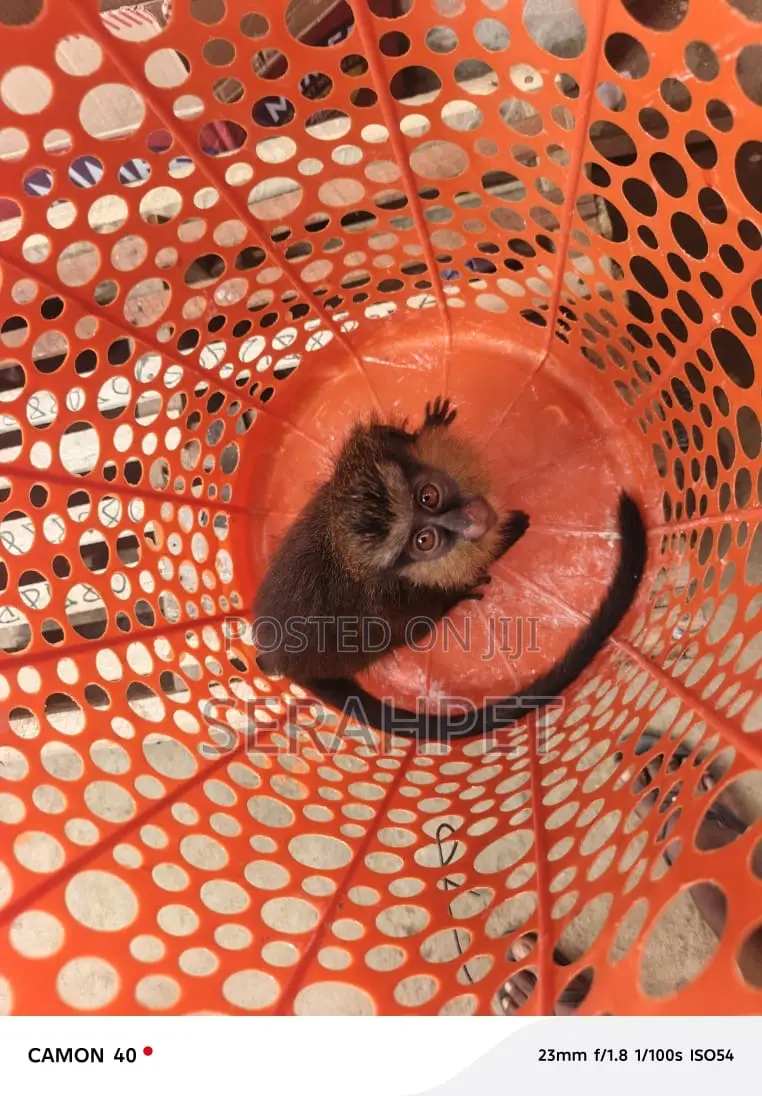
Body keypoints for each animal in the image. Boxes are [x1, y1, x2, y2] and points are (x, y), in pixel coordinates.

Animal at [253, 397, 647, 742]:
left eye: (429, 496)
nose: (468, 519)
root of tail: (286, 663)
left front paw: (426, 427)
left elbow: (393, 438)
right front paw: (508, 534)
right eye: (425, 541)